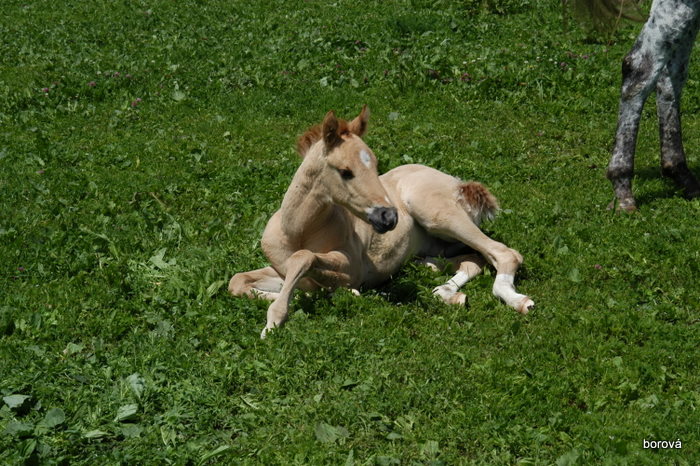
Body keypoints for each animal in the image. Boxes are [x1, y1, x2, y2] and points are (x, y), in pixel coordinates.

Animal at [228, 107, 532, 336]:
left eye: (375, 165)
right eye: (346, 171)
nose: (389, 216)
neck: (297, 229)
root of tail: (459, 184)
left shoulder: (351, 267)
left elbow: (304, 258)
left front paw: (275, 321)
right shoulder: (280, 269)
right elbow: (238, 281)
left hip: (439, 216)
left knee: (505, 253)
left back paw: (518, 301)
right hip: (443, 242)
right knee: (473, 260)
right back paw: (444, 289)